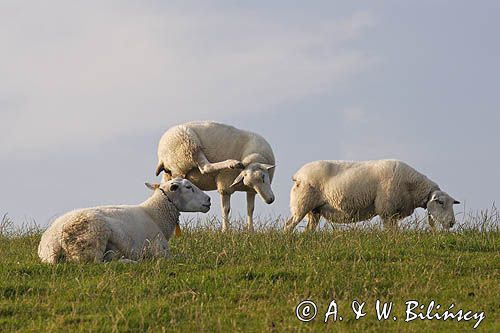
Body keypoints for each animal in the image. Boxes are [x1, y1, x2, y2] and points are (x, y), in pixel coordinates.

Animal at [37, 178, 211, 264]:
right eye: (188, 187)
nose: (208, 200)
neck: (155, 214)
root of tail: (53, 244)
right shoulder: (161, 251)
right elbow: (182, 257)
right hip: (93, 239)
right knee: (96, 264)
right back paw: (127, 262)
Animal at [284, 158, 458, 231]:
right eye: (441, 202)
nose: (452, 223)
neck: (412, 187)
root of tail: (298, 175)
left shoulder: (393, 213)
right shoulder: (386, 210)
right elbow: (391, 231)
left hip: (314, 211)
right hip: (301, 204)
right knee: (288, 226)